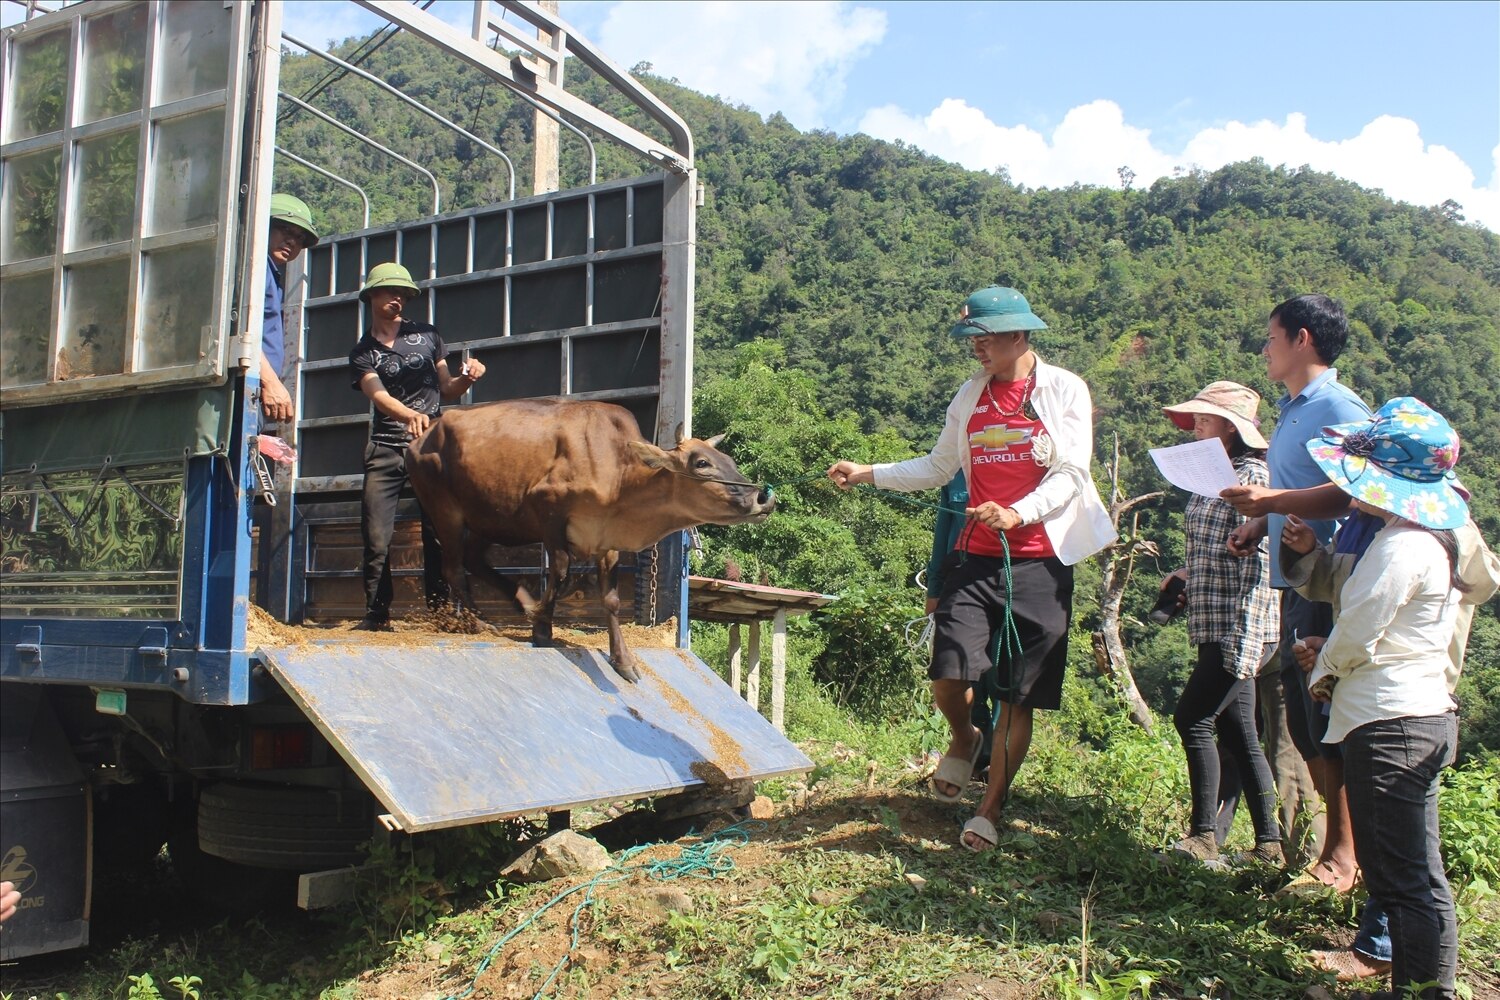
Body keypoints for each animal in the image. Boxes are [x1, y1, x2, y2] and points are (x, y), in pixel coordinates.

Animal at [405, 395, 780, 680]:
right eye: (702, 463)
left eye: (728, 459)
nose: (763, 498)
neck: (618, 476)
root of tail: (424, 434)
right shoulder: (548, 510)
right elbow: (559, 571)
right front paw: (543, 630)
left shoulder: (606, 541)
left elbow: (611, 599)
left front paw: (623, 660)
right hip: (446, 509)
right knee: (454, 567)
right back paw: (481, 622)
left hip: (494, 518)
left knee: (474, 559)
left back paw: (523, 604)